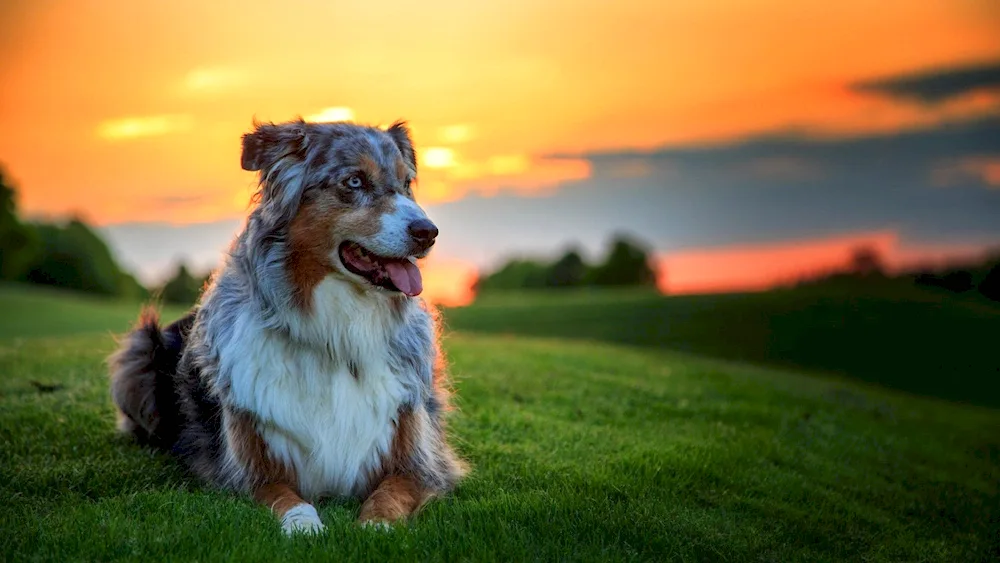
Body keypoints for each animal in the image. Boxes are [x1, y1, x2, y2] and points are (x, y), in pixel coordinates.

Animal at [107, 118, 466, 532]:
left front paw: (375, 526)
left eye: (406, 183)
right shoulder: (247, 469)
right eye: (354, 181)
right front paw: (305, 526)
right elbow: (287, 499)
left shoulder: (421, 463)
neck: (337, 336)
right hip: (138, 354)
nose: (428, 232)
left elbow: (389, 495)